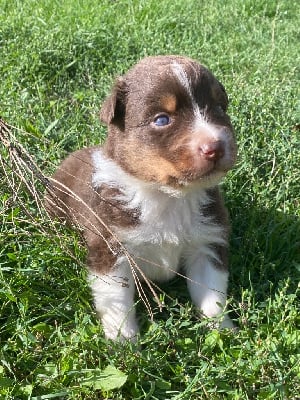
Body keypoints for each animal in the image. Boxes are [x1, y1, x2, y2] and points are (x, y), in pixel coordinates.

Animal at [45, 54, 237, 340]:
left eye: (219, 109)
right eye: (162, 120)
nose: (215, 147)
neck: (168, 196)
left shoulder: (207, 243)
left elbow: (212, 294)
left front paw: (223, 331)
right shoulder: (110, 248)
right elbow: (117, 302)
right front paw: (124, 342)